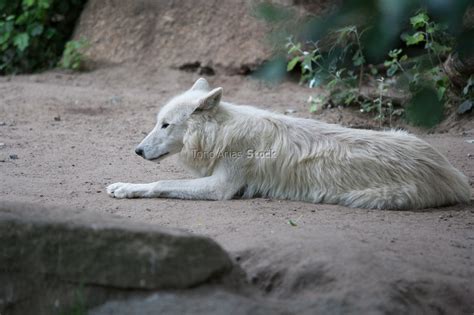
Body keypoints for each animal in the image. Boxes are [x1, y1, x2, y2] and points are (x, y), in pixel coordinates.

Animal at [107, 78, 470, 210]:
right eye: (157, 122)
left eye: (166, 125)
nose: (137, 151)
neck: (222, 132)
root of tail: (455, 176)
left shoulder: (221, 187)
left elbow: (160, 182)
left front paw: (125, 187)